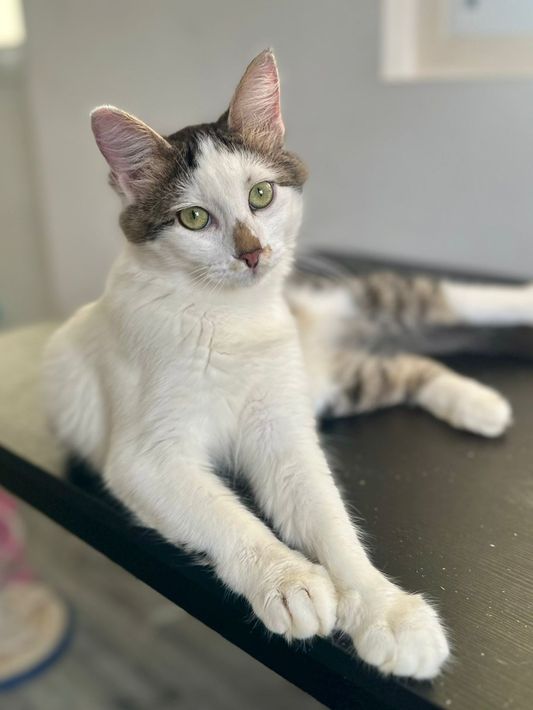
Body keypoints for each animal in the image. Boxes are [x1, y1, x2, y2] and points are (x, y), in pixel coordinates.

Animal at [43, 49, 533, 680]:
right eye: (194, 218)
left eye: (260, 195)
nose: (253, 253)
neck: (231, 319)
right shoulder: (142, 459)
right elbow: (225, 515)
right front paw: (289, 581)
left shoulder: (283, 435)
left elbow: (330, 520)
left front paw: (387, 611)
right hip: (341, 381)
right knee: (410, 363)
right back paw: (477, 403)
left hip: (365, 307)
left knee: (448, 297)